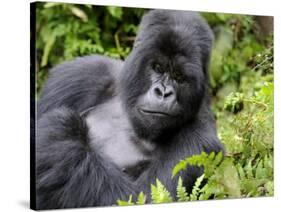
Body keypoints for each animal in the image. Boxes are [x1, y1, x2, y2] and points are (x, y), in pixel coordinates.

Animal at [35, 9, 223, 209]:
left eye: (179, 77)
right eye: (158, 67)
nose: (163, 93)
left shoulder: (201, 141)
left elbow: (140, 196)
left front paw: (61, 132)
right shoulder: (81, 73)